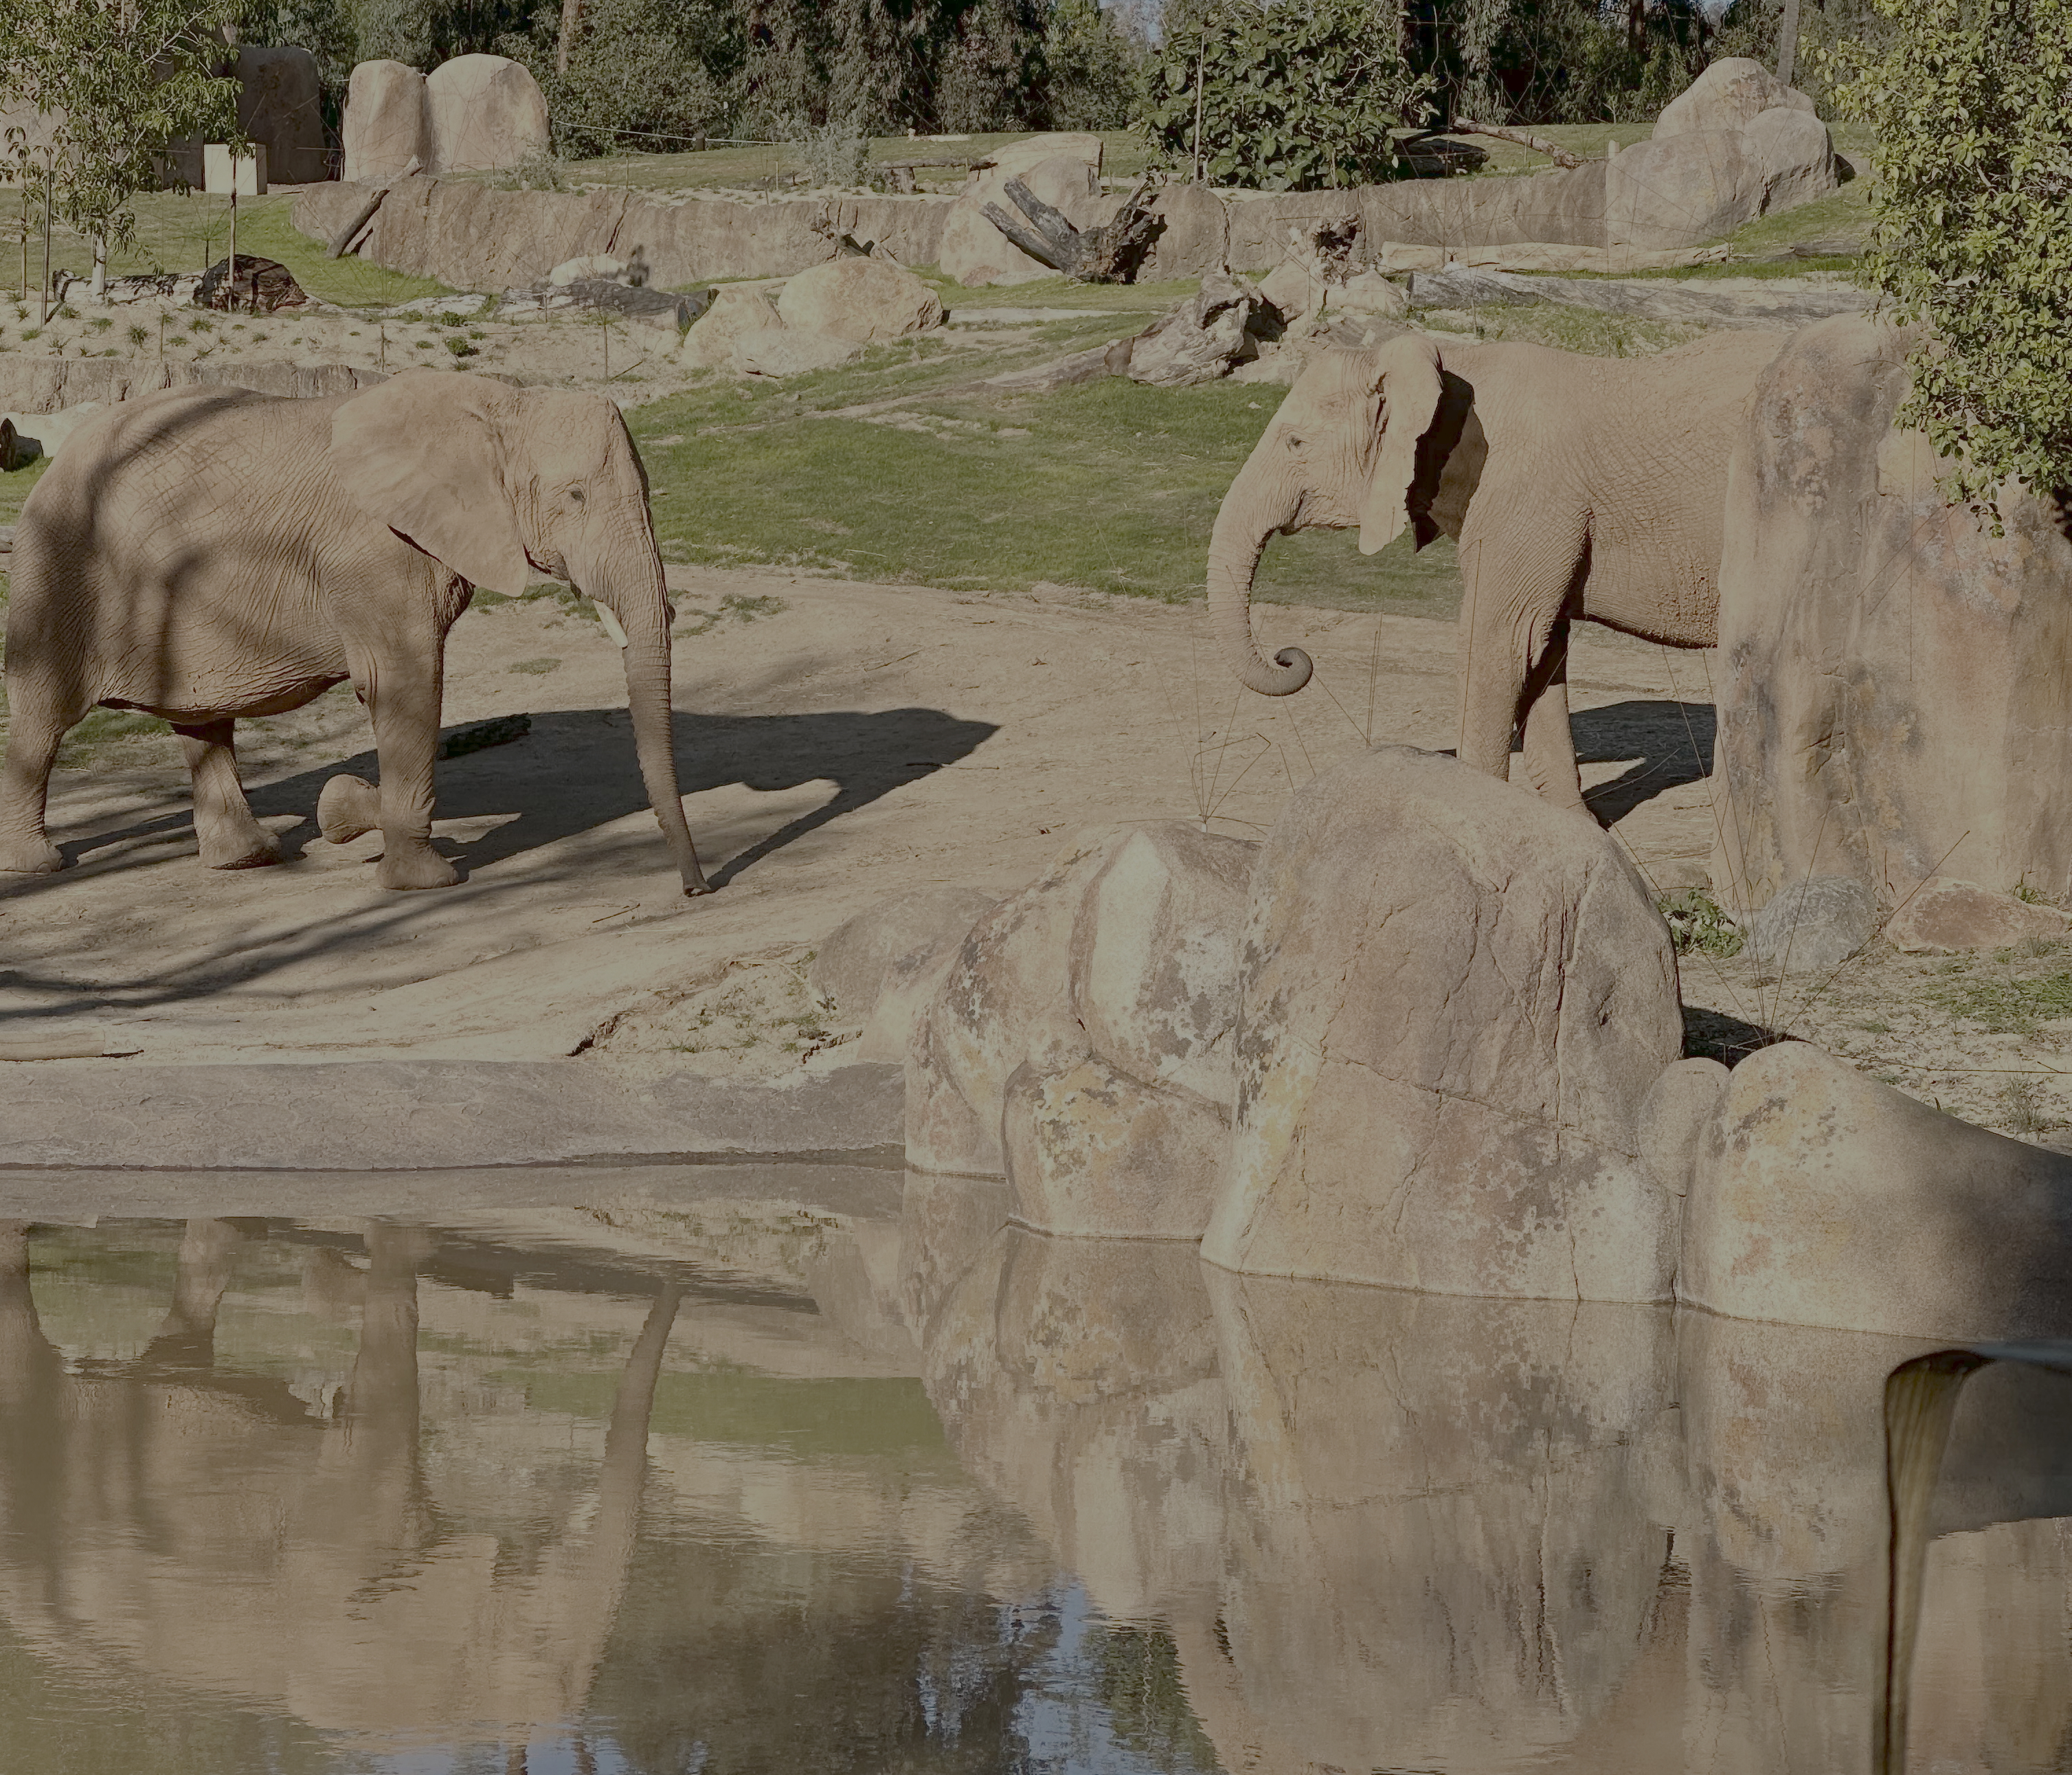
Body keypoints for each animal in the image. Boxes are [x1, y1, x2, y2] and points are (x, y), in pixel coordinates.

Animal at [0, 369, 708, 893]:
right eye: (576, 496)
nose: (696, 888)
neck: (500, 402)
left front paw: (342, 811)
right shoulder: (372, 552)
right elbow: (407, 685)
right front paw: (422, 877)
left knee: (202, 723)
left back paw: (250, 857)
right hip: (61, 570)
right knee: (44, 717)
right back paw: (40, 865)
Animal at [1207, 328, 1791, 813]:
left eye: (1294, 443)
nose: (1289, 656)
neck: (1447, 362)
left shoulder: (1526, 497)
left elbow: (1499, 640)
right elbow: (1542, 648)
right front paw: (1573, 829)